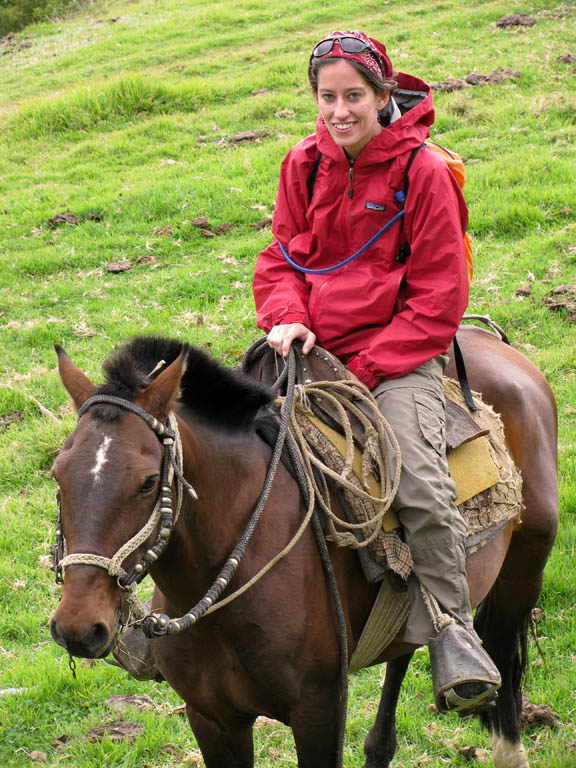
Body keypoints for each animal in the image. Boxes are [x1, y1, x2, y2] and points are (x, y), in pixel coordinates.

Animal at [50, 328, 560, 768]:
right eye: (58, 474)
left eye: (148, 482)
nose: (77, 626)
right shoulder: (211, 718)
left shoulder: (319, 710)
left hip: (524, 568)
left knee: (500, 652)